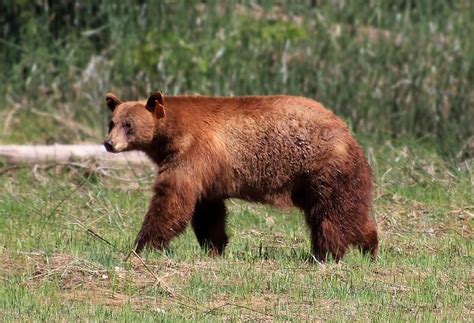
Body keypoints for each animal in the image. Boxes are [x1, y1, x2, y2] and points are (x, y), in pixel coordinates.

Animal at [103, 92, 378, 264]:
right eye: (112, 122)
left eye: (128, 124)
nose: (108, 144)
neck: (171, 133)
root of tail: (347, 132)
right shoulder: (208, 172)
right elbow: (208, 211)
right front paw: (215, 246)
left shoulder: (192, 153)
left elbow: (172, 200)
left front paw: (144, 244)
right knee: (350, 214)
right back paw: (370, 246)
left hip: (322, 169)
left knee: (331, 216)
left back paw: (324, 254)